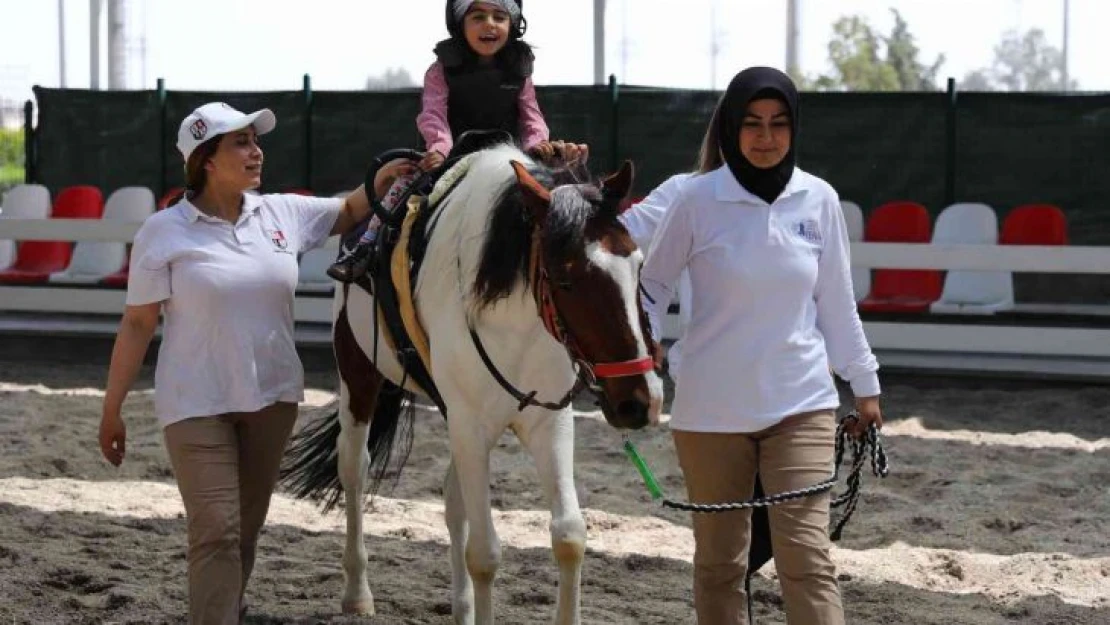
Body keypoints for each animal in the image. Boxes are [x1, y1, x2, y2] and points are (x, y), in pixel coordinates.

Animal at [284, 145, 666, 621]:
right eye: (566, 279)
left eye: (639, 265)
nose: (639, 400)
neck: (514, 320)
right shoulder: (470, 424)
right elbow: (484, 553)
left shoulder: (548, 423)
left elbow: (569, 537)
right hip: (359, 375)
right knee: (354, 468)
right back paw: (357, 592)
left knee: (453, 500)